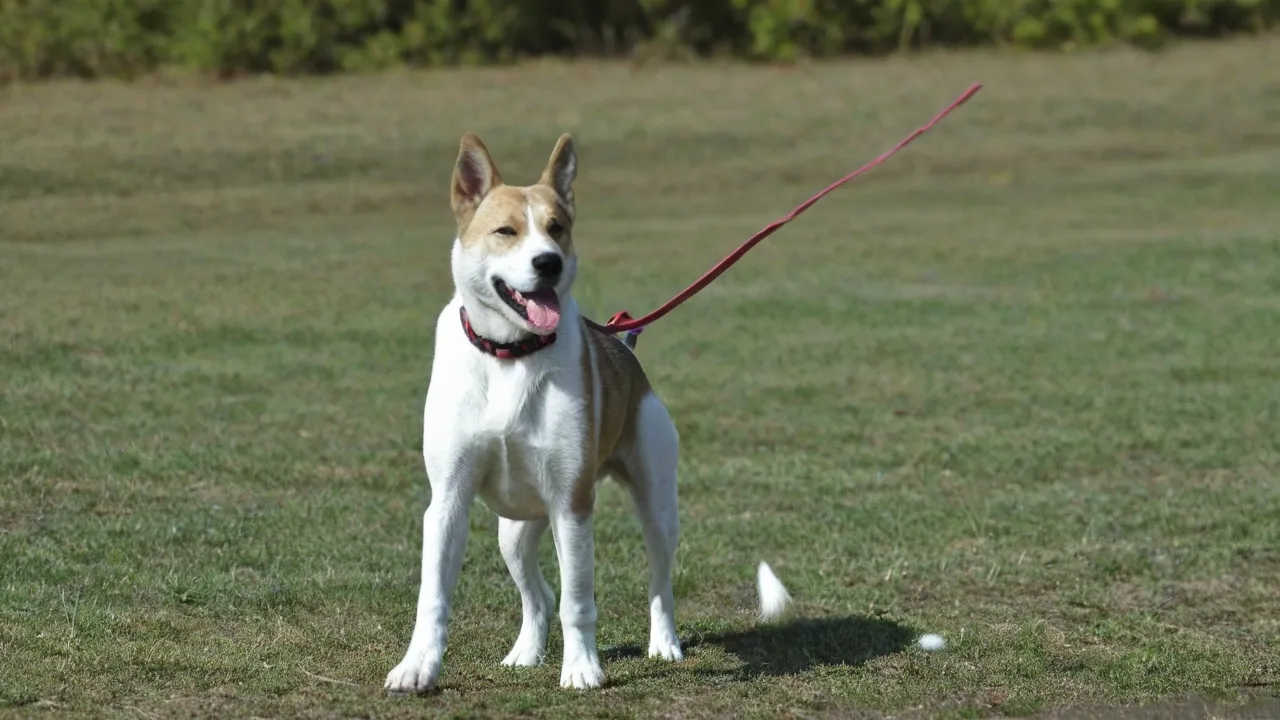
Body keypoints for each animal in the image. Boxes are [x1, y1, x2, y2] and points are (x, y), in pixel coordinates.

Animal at [381, 130, 691, 691]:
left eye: (557, 228)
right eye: (506, 230)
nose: (548, 261)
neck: (511, 354)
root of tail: (625, 349)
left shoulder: (572, 502)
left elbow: (579, 601)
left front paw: (583, 669)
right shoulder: (448, 501)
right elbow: (432, 596)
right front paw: (417, 669)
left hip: (655, 504)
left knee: (658, 581)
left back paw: (665, 644)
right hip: (515, 530)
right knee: (538, 594)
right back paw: (525, 651)